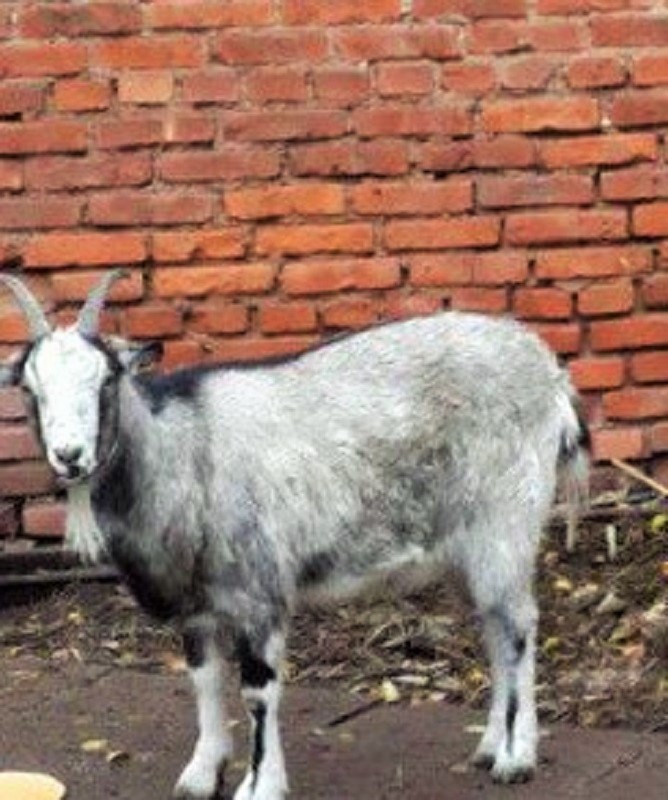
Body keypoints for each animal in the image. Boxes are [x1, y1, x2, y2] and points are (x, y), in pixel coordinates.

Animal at [0, 270, 588, 800]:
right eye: (30, 388)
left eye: (106, 380)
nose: (70, 456)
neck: (183, 451)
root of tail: (552, 374)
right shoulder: (195, 605)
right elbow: (204, 680)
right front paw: (202, 773)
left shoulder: (258, 592)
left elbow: (258, 691)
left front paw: (259, 785)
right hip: (466, 549)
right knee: (494, 630)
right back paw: (489, 746)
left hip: (505, 524)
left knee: (518, 629)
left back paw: (516, 757)